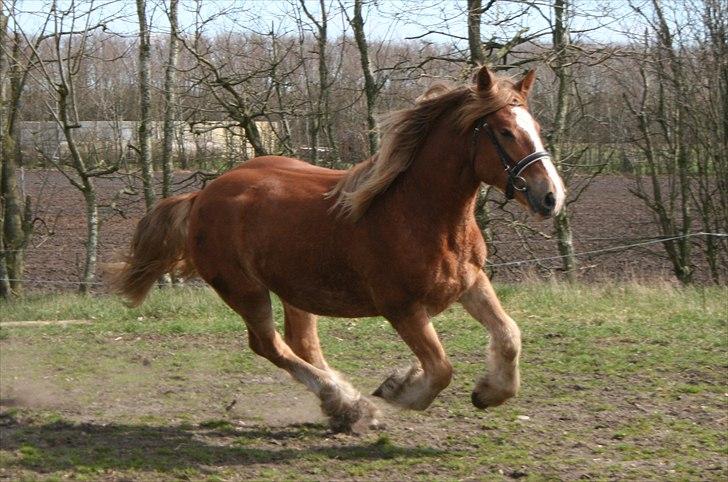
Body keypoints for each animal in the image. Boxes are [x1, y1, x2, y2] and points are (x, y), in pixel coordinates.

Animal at [111, 67, 568, 434]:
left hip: (294, 289)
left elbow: (509, 335)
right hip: (245, 290)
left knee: (300, 343)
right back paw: (349, 405)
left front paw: (489, 392)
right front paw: (400, 388)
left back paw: (344, 407)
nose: (551, 197)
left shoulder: (471, 282)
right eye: (505, 131)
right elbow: (440, 368)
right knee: (269, 346)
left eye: (536, 126)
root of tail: (201, 196)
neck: (422, 215)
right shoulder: (401, 307)